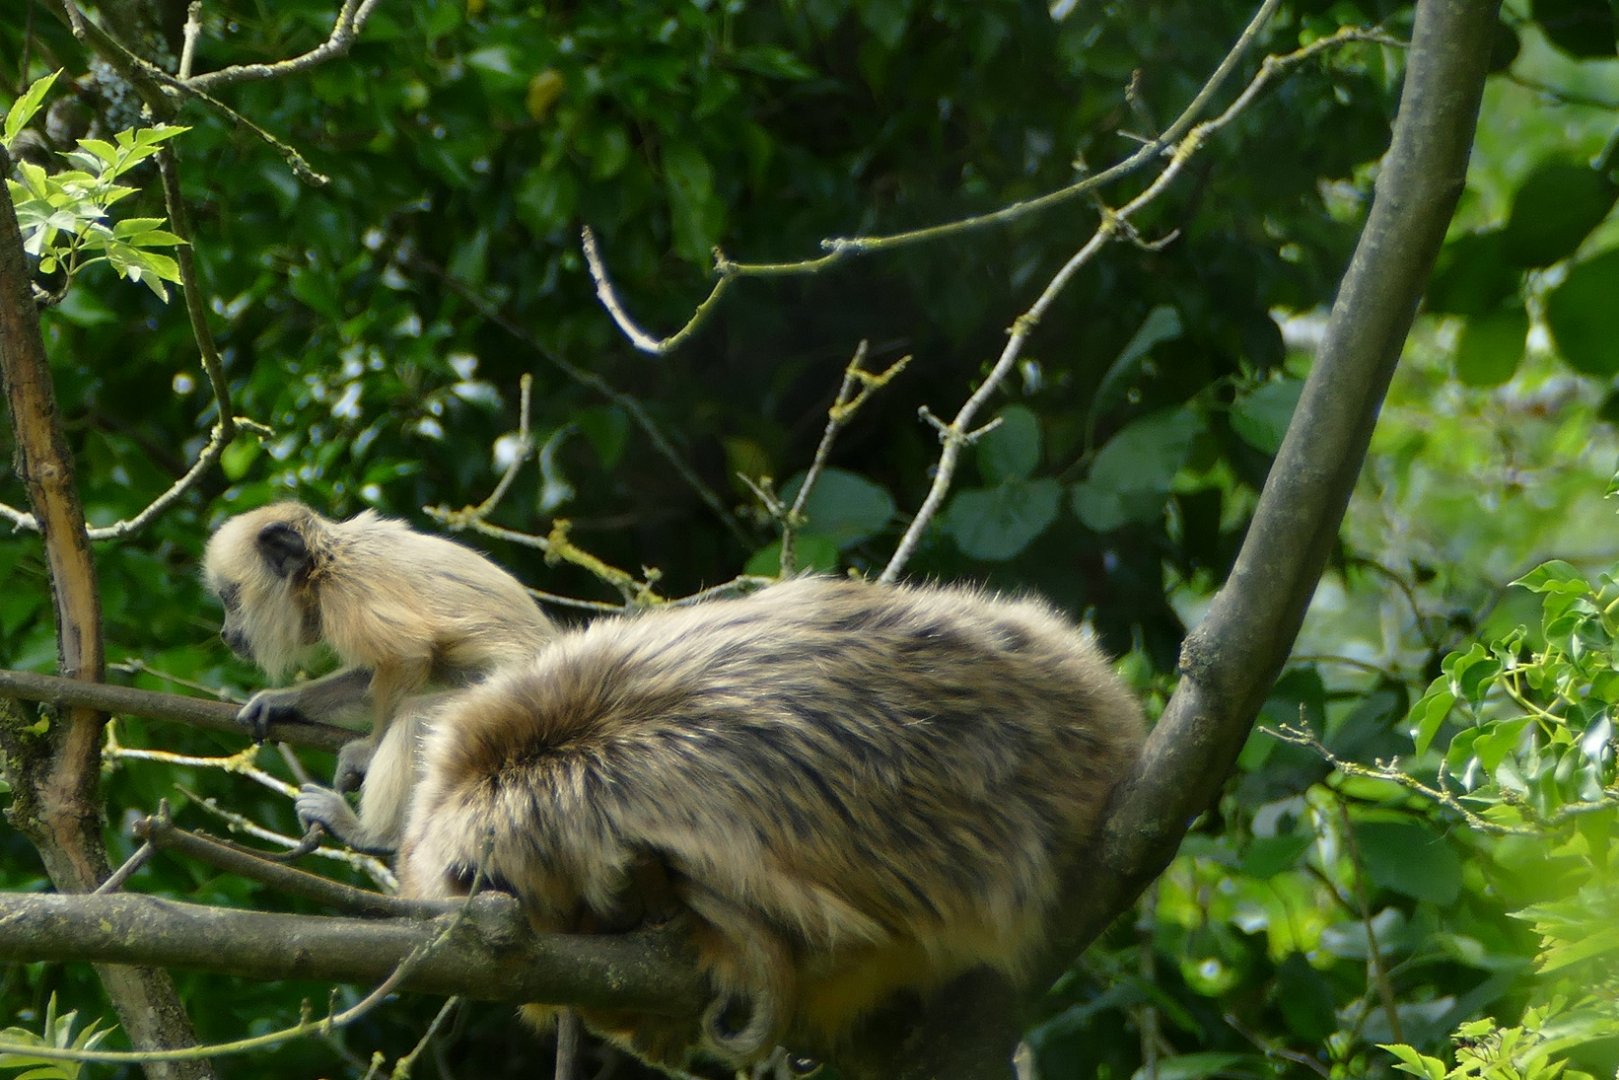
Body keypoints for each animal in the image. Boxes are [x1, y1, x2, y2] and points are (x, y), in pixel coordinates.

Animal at [202, 500, 557, 854]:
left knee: (418, 716)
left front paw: (368, 753)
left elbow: (406, 654)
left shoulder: (346, 589)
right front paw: (280, 703)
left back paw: (374, 836)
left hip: (514, 706)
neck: (324, 562)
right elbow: (369, 673)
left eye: (230, 599)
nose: (224, 633)